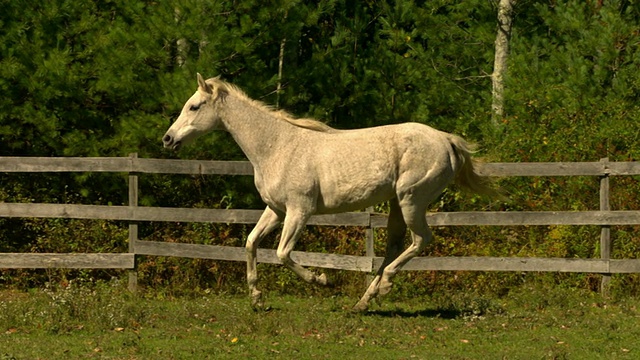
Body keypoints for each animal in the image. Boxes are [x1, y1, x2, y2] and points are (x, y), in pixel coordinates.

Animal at [162, 74, 498, 312]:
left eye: (194, 106)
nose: (167, 139)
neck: (276, 146)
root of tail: (445, 139)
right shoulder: (276, 210)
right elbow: (250, 243)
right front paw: (257, 298)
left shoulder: (300, 211)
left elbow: (282, 253)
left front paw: (323, 280)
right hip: (396, 205)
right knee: (394, 246)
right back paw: (364, 301)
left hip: (411, 200)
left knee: (420, 240)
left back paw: (384, 287)